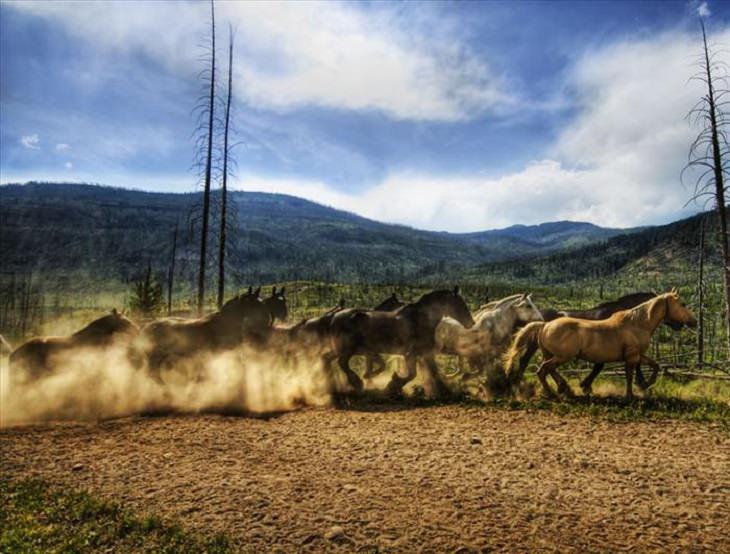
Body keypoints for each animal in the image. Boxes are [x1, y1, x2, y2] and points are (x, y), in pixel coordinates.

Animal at [139, 284, 270, 380]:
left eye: (261, 302)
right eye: (253, 304)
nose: (267, 318)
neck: (225, 325)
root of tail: (147, 327)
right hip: (154, 359)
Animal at [328, 288, 474, 396]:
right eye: (460, 303)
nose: (471, 322)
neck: (420, 319)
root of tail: (335, 317)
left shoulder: (424, 354)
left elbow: (431, 373)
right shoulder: (410, 354)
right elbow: (412, 375)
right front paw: (392, 385)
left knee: (336, 362)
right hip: (349, 348)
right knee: (342, 363)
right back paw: (357, 383)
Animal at [500, 288, 692, 396]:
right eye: (682, 304)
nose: (692, 322)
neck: (635, 322)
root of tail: (544, 323)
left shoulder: (629, 354)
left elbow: (652, 365)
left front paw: (643, 385)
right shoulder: (627, 354)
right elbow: (621, 370)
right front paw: (638, 387)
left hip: (551, 353)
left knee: (545, 368)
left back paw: (559, 388)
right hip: (559, 355)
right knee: (536, 366)